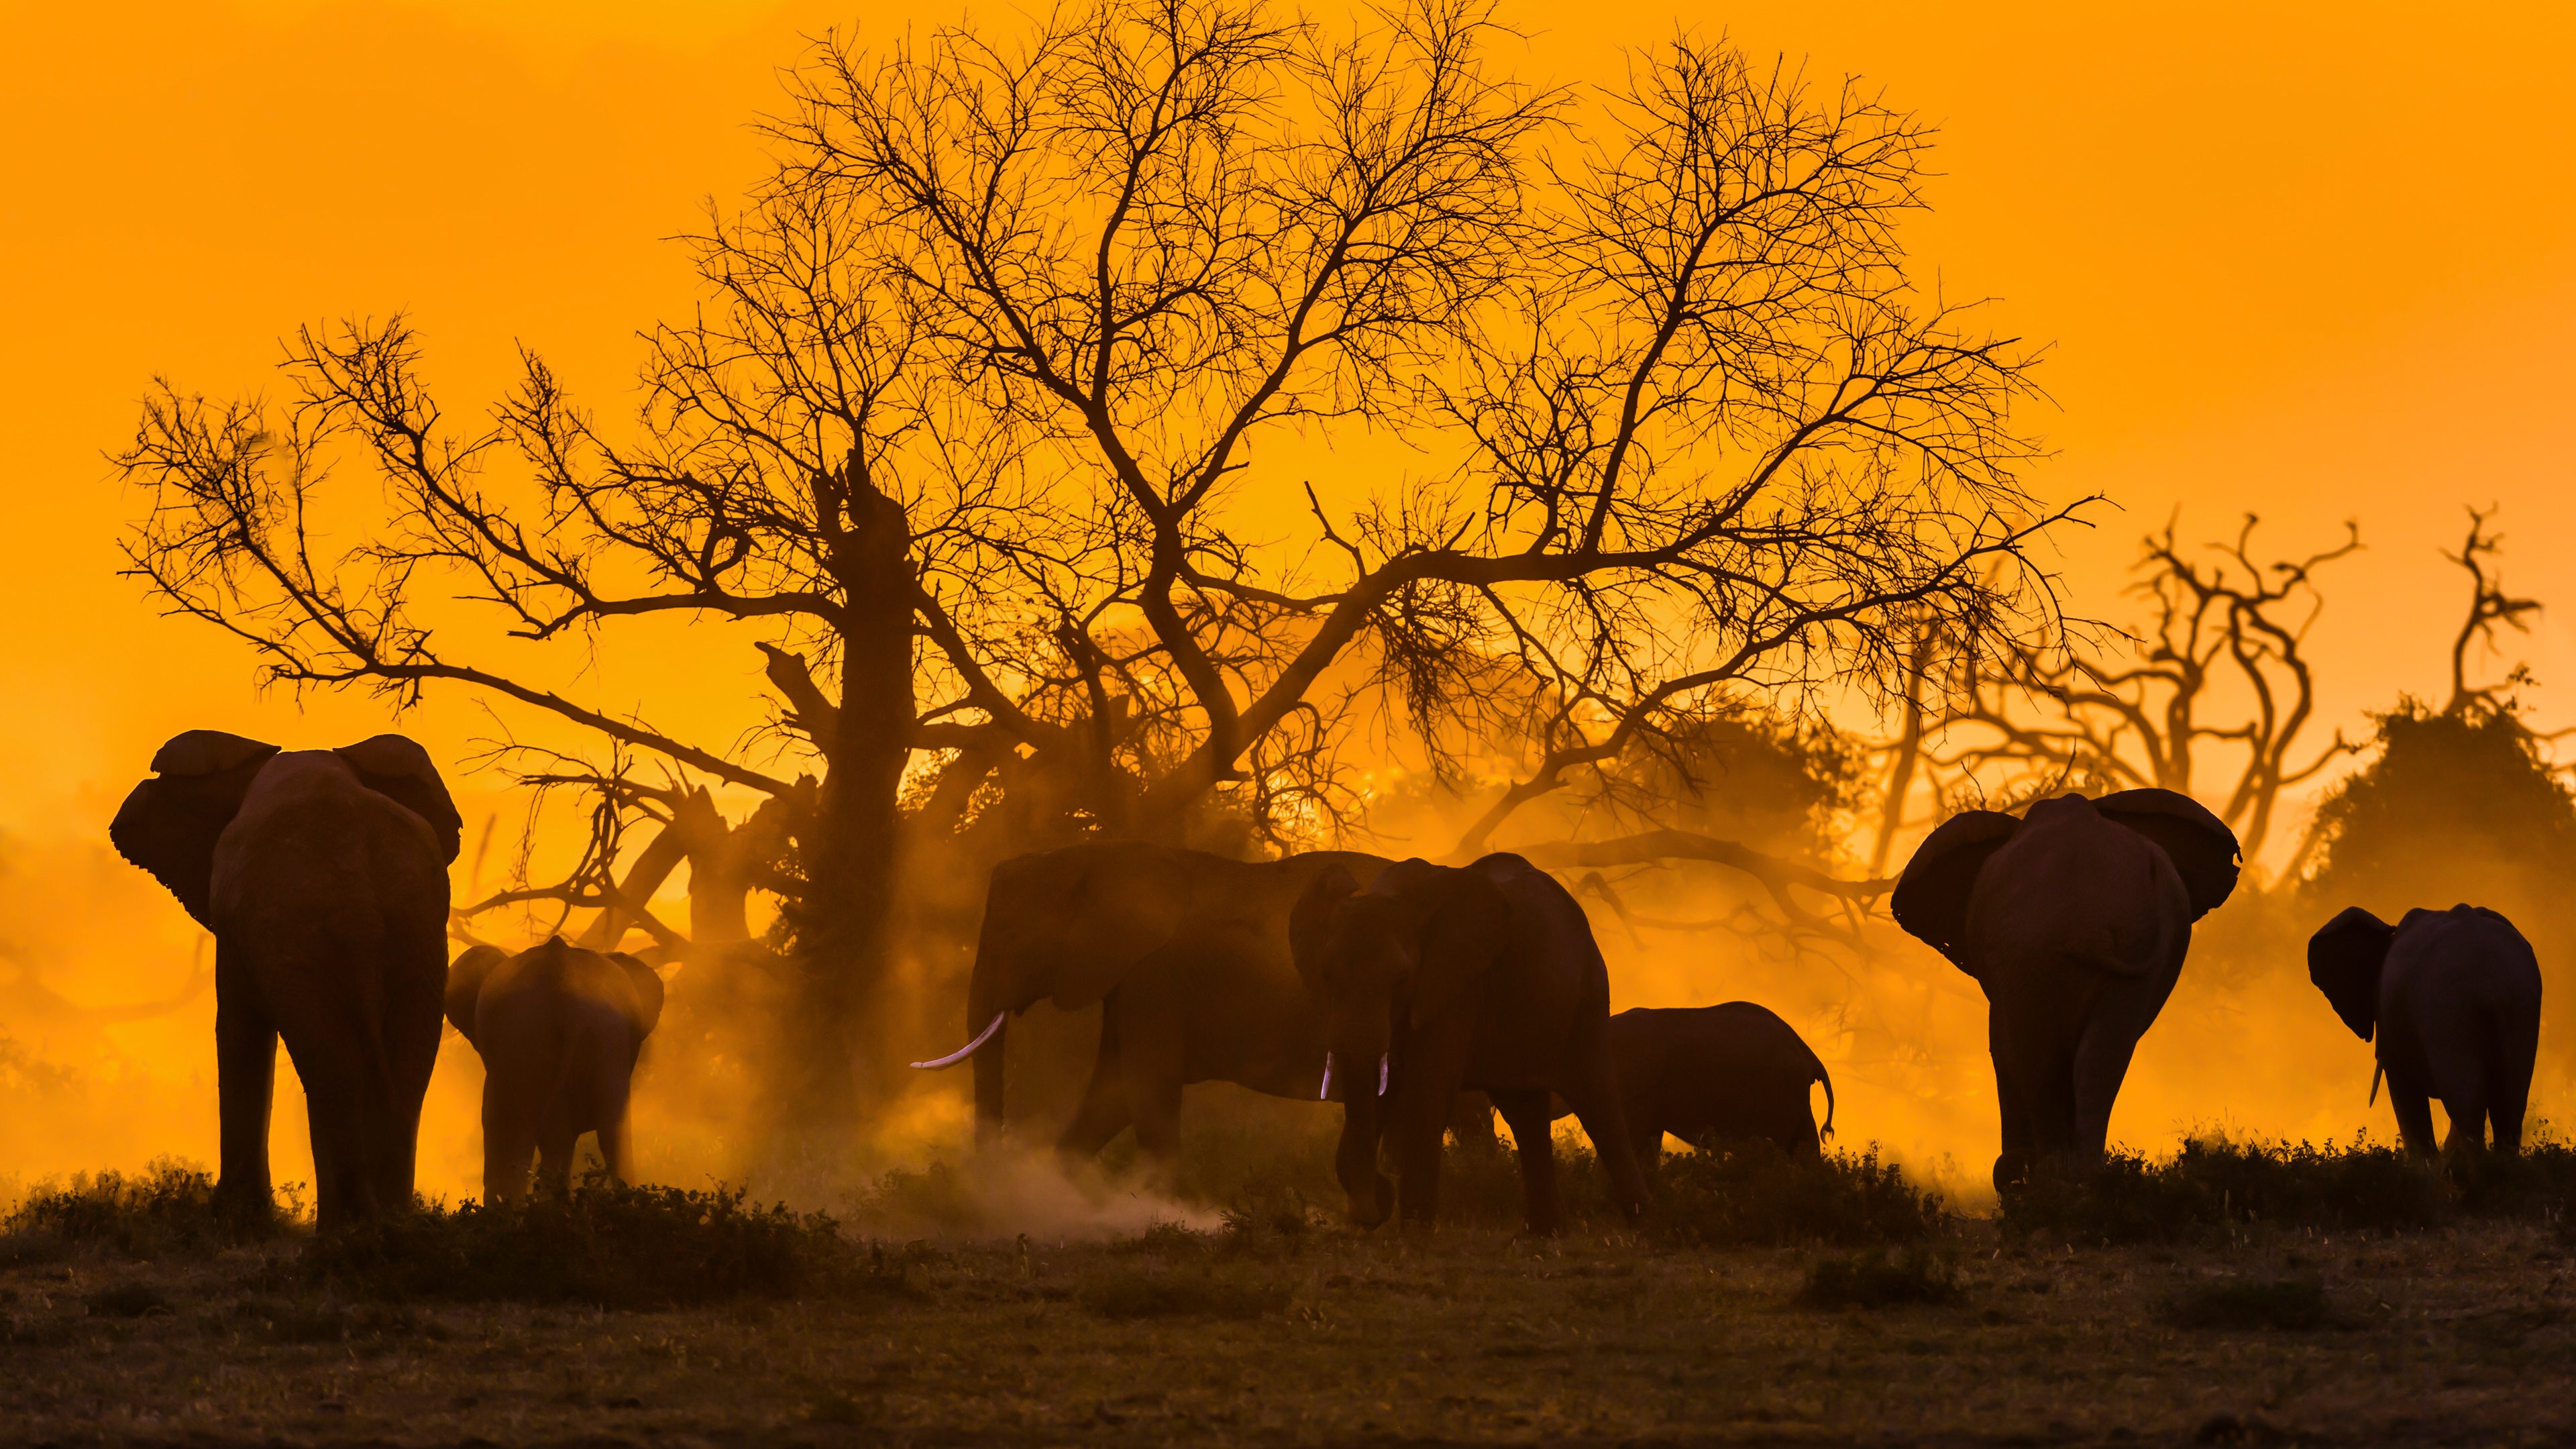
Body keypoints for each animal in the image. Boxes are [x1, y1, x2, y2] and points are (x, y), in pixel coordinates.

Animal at [109, 730, 461, 1228]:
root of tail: (359, 906)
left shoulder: (237, 922)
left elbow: (238, 1027)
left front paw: (236, 1218)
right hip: (417, 932)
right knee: (401, 1066)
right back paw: (382, 1223)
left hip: (305, 934)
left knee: (331, 1064)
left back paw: (352, 1227)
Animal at [913, 841, 1395, 1163]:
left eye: (1011, 940)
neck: (1091, 860)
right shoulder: (1128, 978)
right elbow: (1113, 1093)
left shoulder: (1152, 977)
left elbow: (1147, 1086)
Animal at [1291, 852, 1650, 1233]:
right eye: (1326, 975)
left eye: (1402, 977)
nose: (1373, 1210)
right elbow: (1382, 1088)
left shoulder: (1455, 986)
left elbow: (1426, 1090)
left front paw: (1413, 1236)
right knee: (1525, 1112)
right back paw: (1546, 1235)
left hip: (1588, 992)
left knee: (1597, 1100)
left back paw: (1645, 1226)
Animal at [1892, 789, 2240, 1192]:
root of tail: (2087, 921)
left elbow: (2003, 1048)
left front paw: (2016, 1174)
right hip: (2116, 954)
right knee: (2102, 1055)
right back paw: (2084, 1177)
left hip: (2029, 948)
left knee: (2040, 1056)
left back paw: (2052, 1177)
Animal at [2307, 903, 2542, 1159]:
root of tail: (2490, 984)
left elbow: (2402, 1086)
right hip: (2521, 1001)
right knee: (2510, 1098)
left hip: (2447, 1007)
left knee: (2466, 1098)